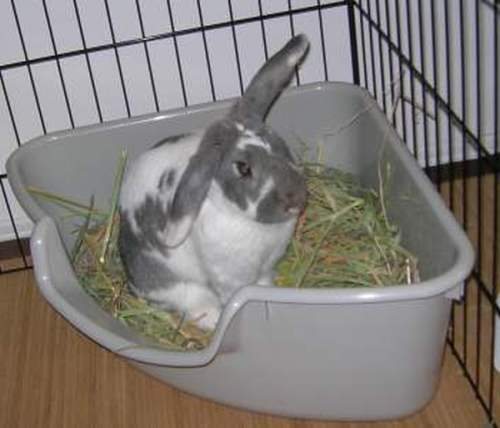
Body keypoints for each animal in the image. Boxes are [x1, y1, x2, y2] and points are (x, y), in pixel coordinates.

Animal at [118, 34, 309, 331]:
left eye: (280, 143)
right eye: (243, 168)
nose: (296, 198)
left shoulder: (266, 267)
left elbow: (264, 282)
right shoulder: (230, 276)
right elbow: (235, 293)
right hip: (179, 287)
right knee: (194, 303)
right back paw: (214, 318)